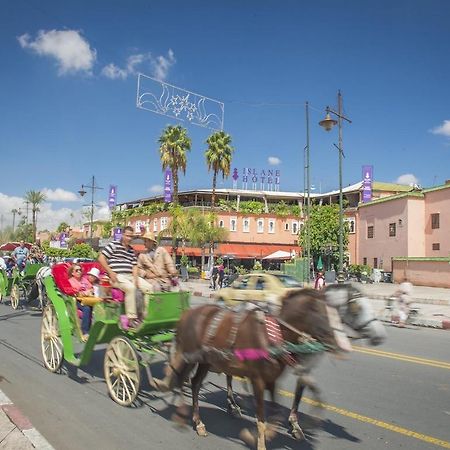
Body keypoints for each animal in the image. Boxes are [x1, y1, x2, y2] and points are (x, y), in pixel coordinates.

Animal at [155, 288, 348, 450]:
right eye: (323, 314)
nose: (340, 344)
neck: (273, 336)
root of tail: (186, 314)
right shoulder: (257, 380)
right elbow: (261, 417)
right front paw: (259, 442)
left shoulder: (271, 380)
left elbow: (276, 414)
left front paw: (266, 434)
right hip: (191, 356)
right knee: (183, 379)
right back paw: (187, 416)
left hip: (206, 362)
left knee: (194, 383)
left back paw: (198, 421)